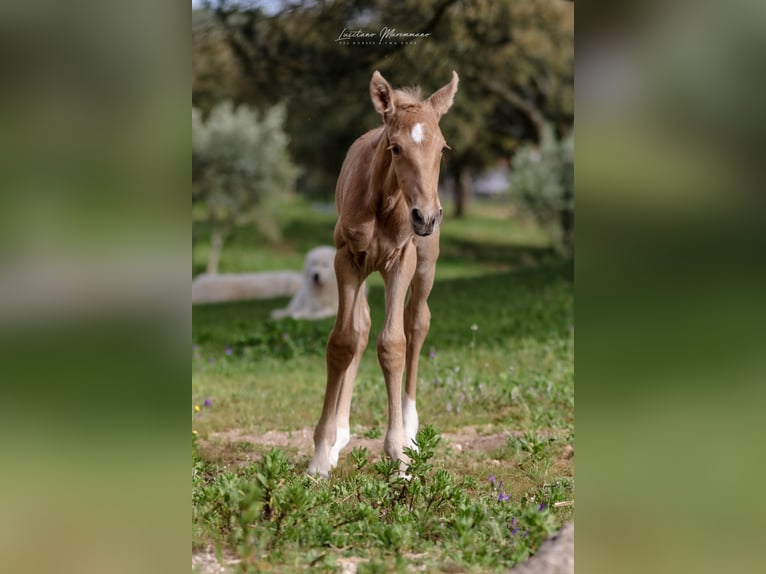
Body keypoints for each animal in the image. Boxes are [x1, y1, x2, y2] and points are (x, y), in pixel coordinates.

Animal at [308, 70, 462, 480]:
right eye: (395, 148)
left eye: (442, 149)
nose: (426, 216)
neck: (385, 200)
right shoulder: (346, 259)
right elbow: (343, 342)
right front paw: (320, 455)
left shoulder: (400, 261)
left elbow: (393, 344)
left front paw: (398, 456)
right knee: (360, 327)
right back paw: (340, 438)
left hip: (425, 265)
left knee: (417, 323)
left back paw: (411, 430)